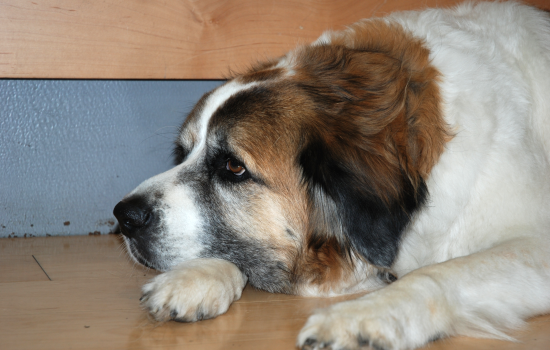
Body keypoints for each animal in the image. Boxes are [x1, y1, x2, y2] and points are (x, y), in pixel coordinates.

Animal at [113, 2, 550, 350]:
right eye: (182, 154)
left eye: (233, 168)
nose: (124, 216)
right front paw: (195, 277)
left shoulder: (533, 242)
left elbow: (438, 274)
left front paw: (363, 317)